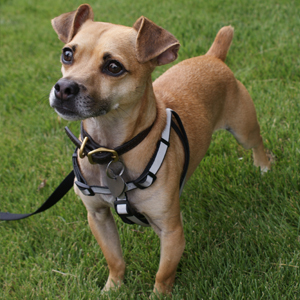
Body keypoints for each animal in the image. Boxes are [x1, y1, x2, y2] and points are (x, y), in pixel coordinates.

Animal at [49, 4, 272, 296]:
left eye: (113, 67)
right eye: (67, 54)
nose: (64, 88)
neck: (112, 150)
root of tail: (213, 58)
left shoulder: (171, 232)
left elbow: (163, 274)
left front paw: (158, 294)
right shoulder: (98, 217)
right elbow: (114, 258)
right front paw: (113, 288)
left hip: (243, 130)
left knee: (257, 142)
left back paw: (263, 166)